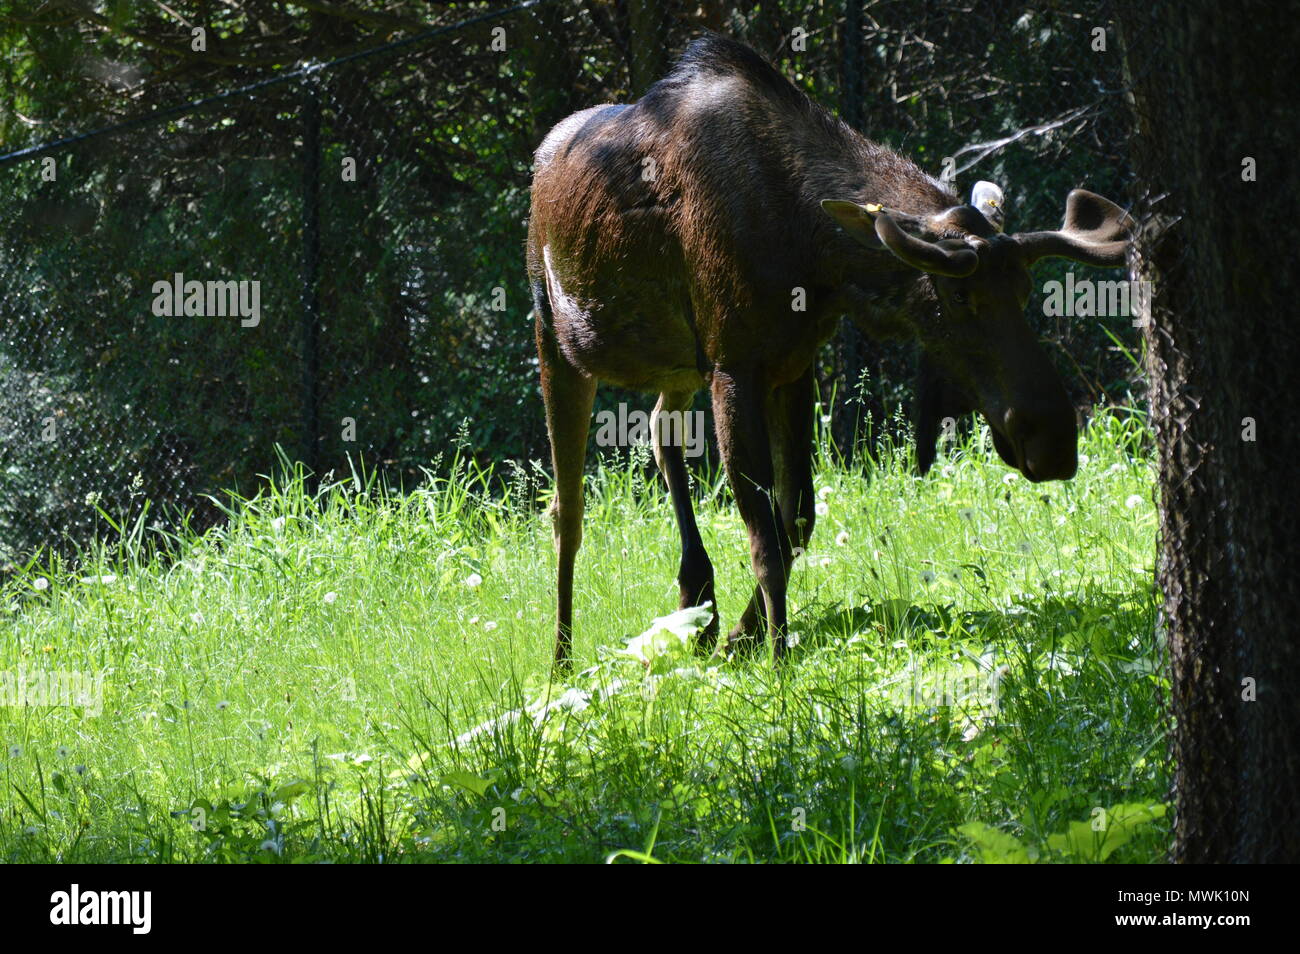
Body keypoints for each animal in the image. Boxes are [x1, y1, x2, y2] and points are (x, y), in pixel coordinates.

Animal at [527, 34, 1131, 668]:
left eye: (1025, 290)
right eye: (957, 295)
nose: (1054, 440)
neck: (815, 255)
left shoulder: (791, 364)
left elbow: (797, 517)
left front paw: (743, 636)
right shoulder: (735, 364)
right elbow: (763, 533)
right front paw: (774, 656)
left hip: (681, 366)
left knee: (660, 433)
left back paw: (697, 601)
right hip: (557, 338)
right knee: (567, 509)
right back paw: (561, 660)